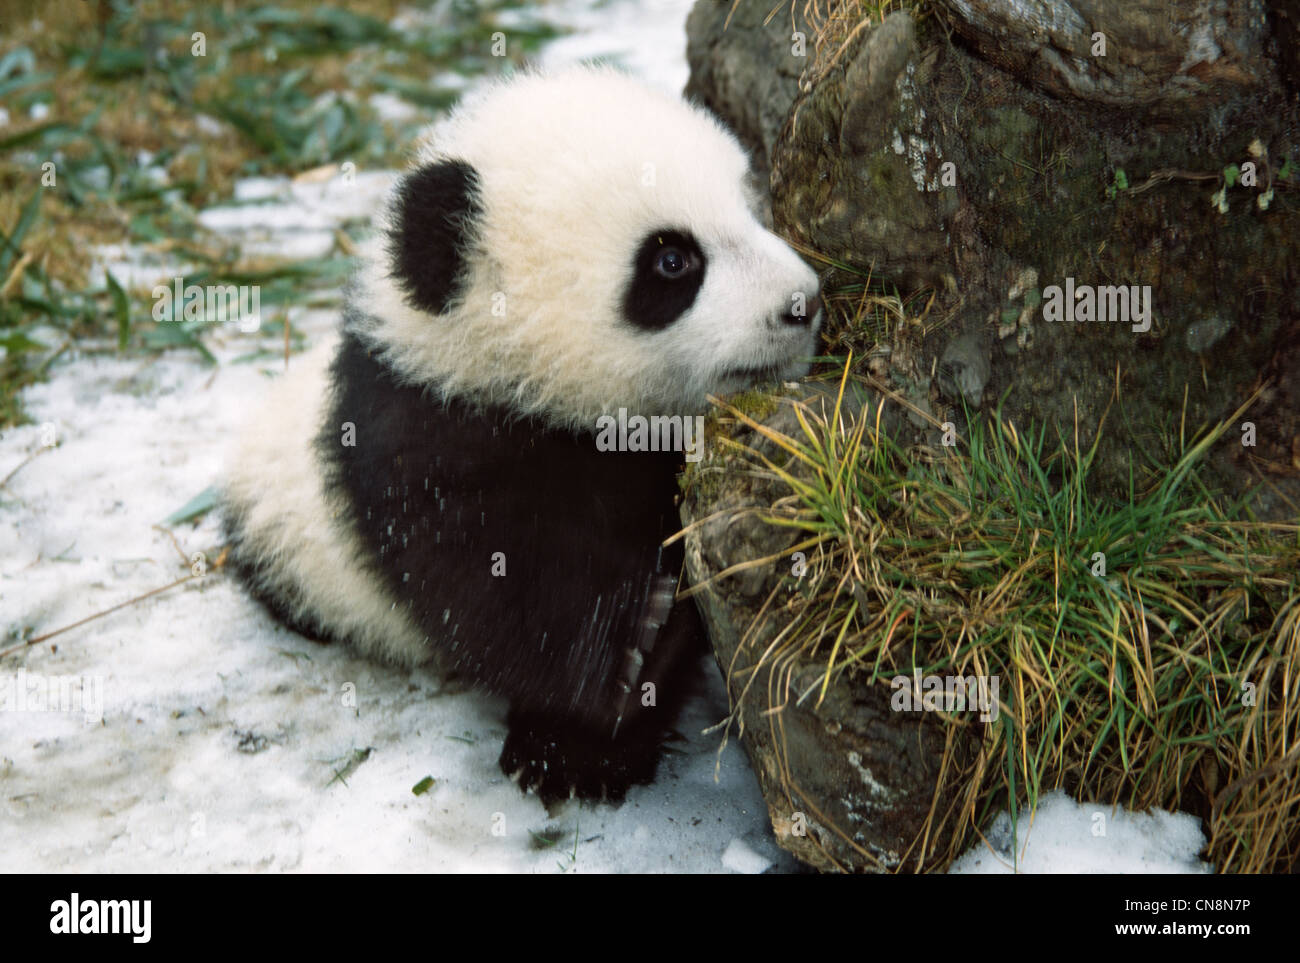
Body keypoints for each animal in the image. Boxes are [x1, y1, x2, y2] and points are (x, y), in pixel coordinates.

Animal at [222, 66, 823, 804]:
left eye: (750, 209)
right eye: (673, 261)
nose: (802, 302)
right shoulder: (432, 440)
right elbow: (505, 605)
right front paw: (614, 687)